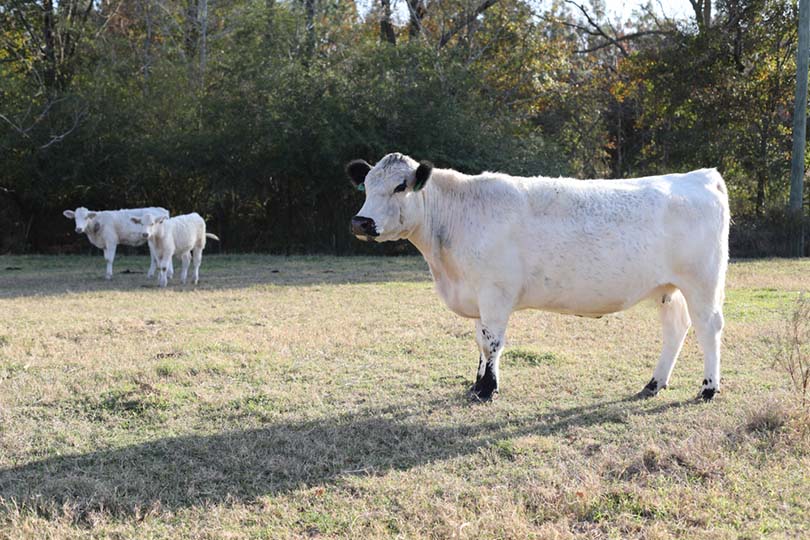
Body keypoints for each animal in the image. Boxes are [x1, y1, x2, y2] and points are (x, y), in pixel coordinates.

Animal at [344, 152, 728, 400]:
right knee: (676, 328)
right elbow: (479, 341)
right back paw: (654, 384)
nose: (361, 222)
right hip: (668, 288)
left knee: (708, 327)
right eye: (366, 186)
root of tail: (698, 176)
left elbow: (491, 342)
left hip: (702, 282)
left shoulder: (495, 293)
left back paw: (708, 388)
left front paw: (487, 390)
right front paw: (477, 383)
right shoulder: (478, 296)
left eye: (400, 186)